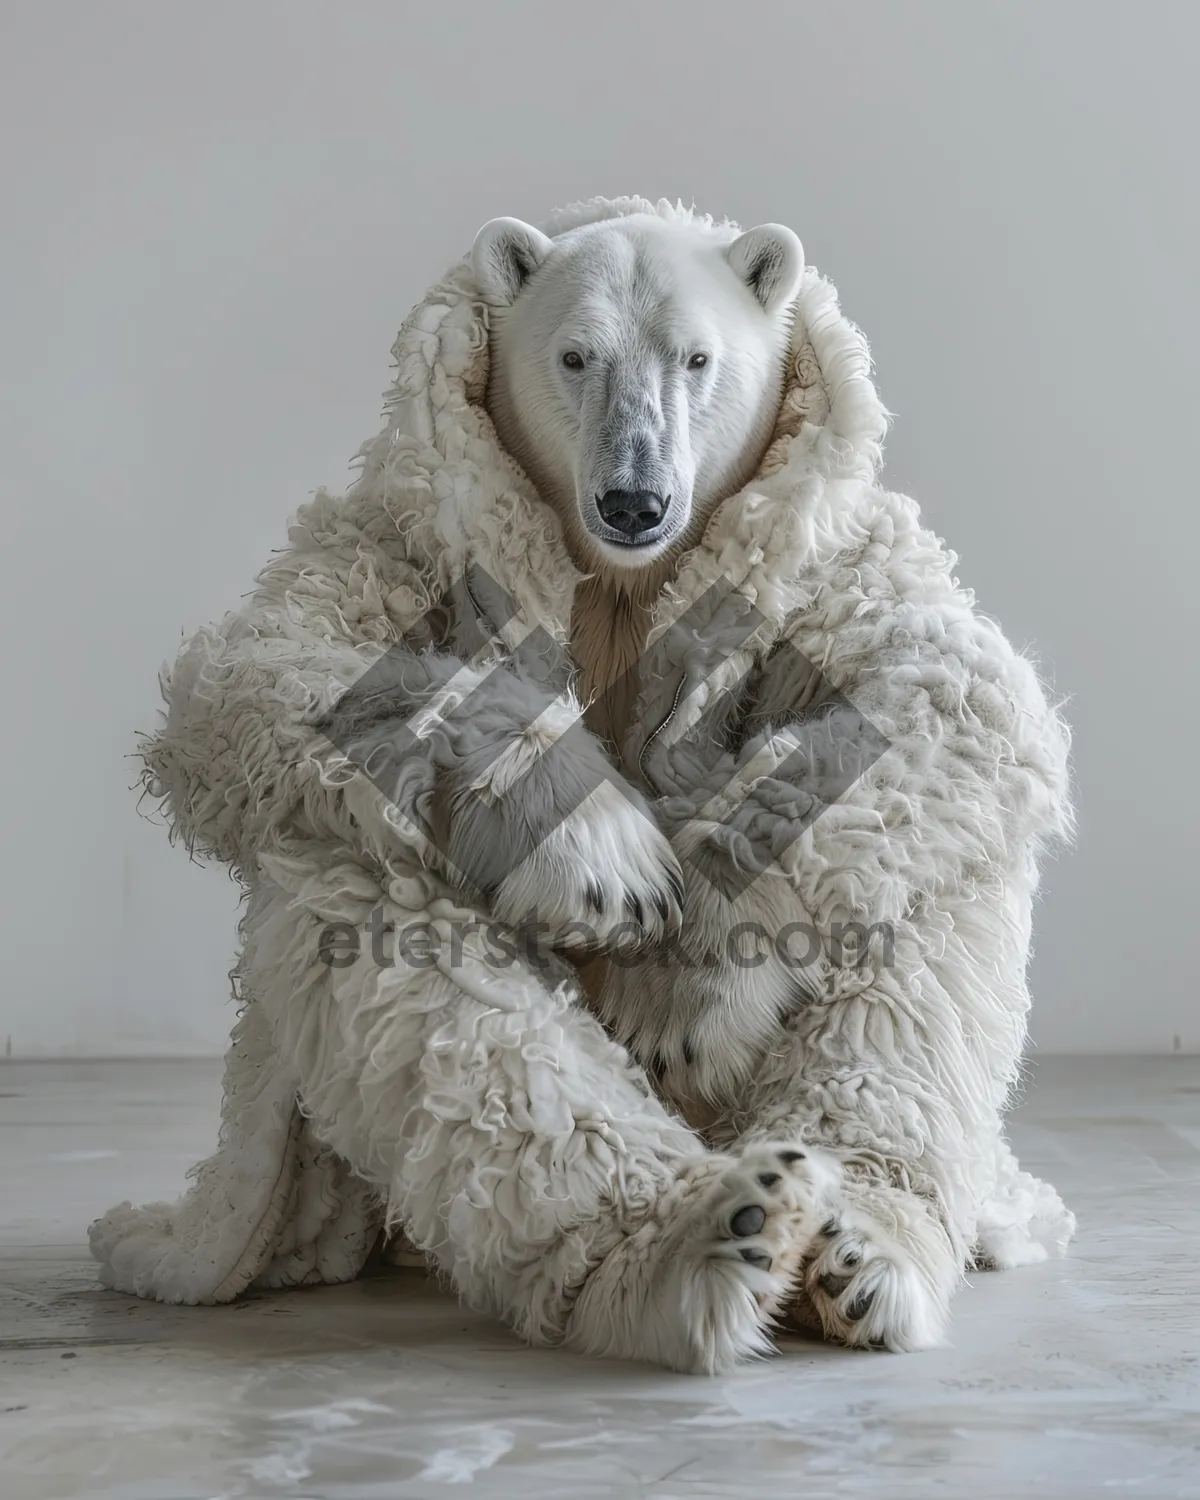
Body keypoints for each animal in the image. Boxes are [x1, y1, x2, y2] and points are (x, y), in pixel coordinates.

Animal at [89, 196, 1074, 1374]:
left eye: (697, 357)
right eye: (575, 355)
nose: (634, 499)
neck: (623, 581)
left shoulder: (833, 558)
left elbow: (959, 692)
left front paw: (683, 990)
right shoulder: (400, 536)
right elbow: (268, 665)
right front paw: (604, 865)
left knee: (923, 915)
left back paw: (854, 1253)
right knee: (369, 902)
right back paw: (695, 1245)